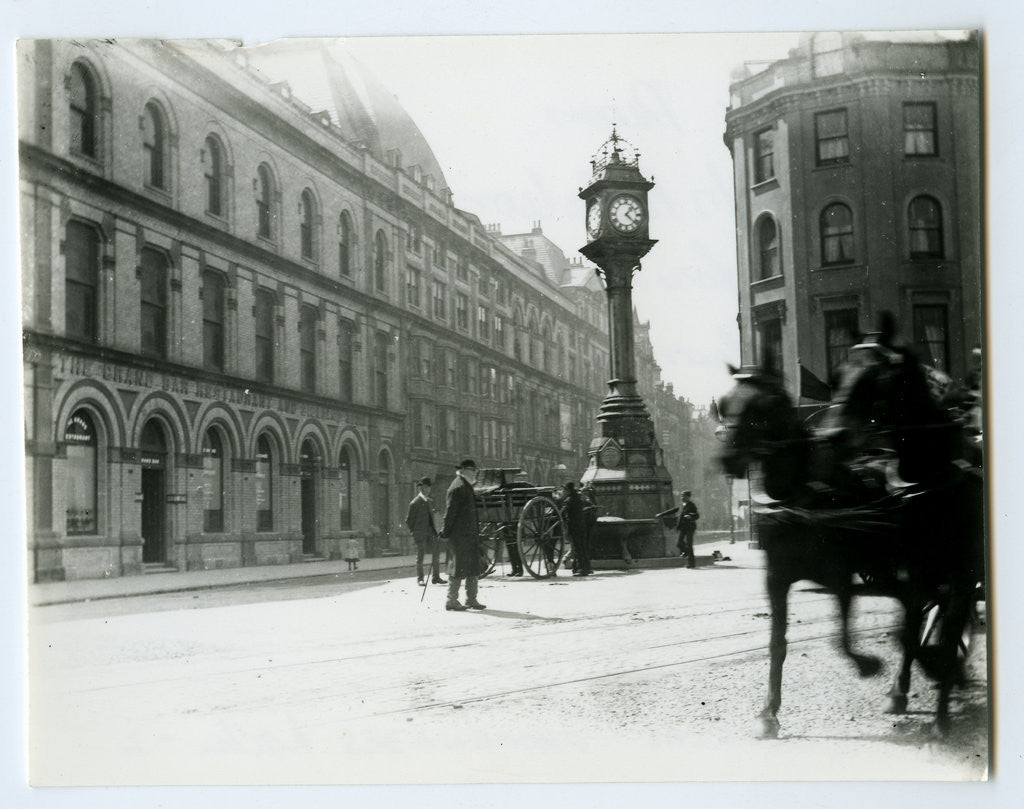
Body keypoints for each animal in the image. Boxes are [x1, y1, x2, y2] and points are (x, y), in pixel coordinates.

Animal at [716, 346, 987, 737]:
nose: (726, 460)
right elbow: (777, 644)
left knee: (926, 616)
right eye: (724, 403)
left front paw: (867, 665)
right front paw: (769, 713)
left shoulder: (840, 575)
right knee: (916, 613)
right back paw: (913, 681)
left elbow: (841, 638)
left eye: (758, 407)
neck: (800, 497)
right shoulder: (777, 579)